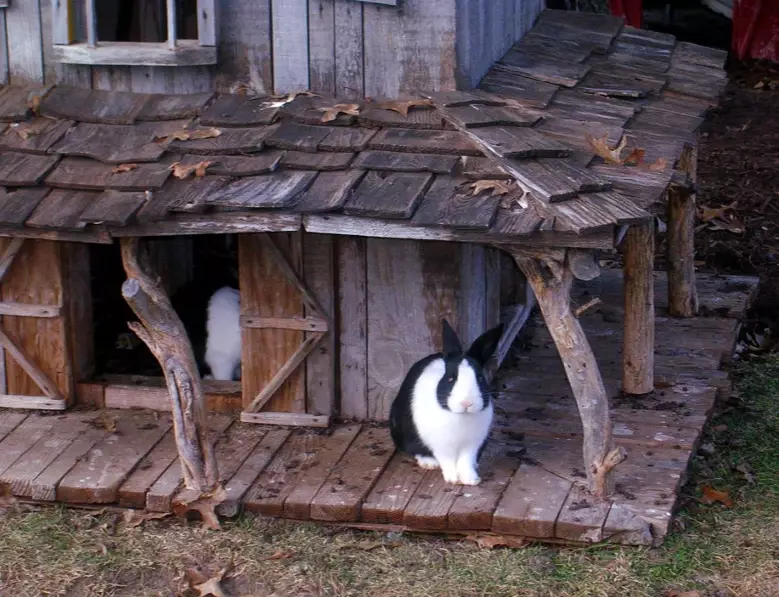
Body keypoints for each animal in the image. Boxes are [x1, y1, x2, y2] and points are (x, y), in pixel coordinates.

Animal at [389, 319, 504, 486]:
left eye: (480, 378)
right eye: (450, 379)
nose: (466, 403)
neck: (461, 416)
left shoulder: (471, 445)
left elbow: (465, 461)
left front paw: (471, 479)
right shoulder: (442, 446)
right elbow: (447, 461)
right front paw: (453, 479)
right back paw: (429, 462)